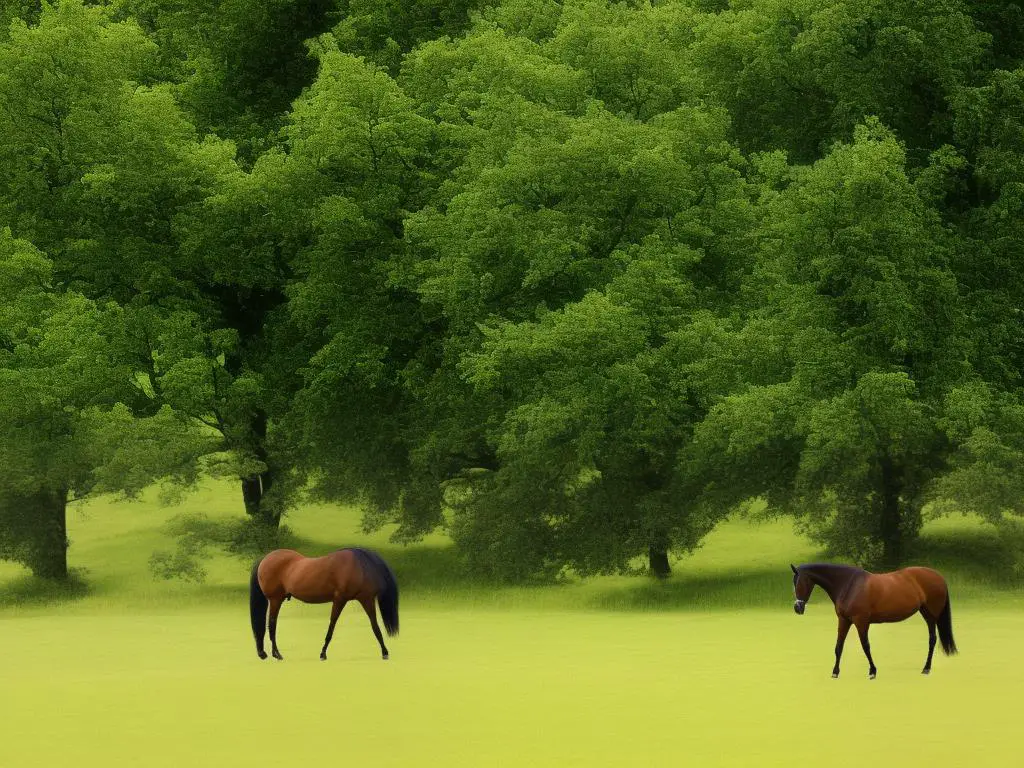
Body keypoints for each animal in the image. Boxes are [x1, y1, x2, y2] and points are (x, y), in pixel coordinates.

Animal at [249, 548, 401, 663]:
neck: (360, 567)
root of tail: (265, 559)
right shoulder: (342, 599)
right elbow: (333, 624)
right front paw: (323, 653)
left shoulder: (365, 599)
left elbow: (374, 626)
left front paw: (384, 651)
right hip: (275, 599)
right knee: (272, 624)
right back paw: (276, 653)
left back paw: (265, 653)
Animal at [786, 565, 954, 679]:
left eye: (800, 583)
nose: (797, 608)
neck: (849, 585)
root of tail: (939, 576)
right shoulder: (844, 620)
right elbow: (839, 646)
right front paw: (835, 672)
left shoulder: (861, 621)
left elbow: (865, 646)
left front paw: (872, 671)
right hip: (926, 612)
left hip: (932, 614)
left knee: (932, 639)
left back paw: (926, 668)